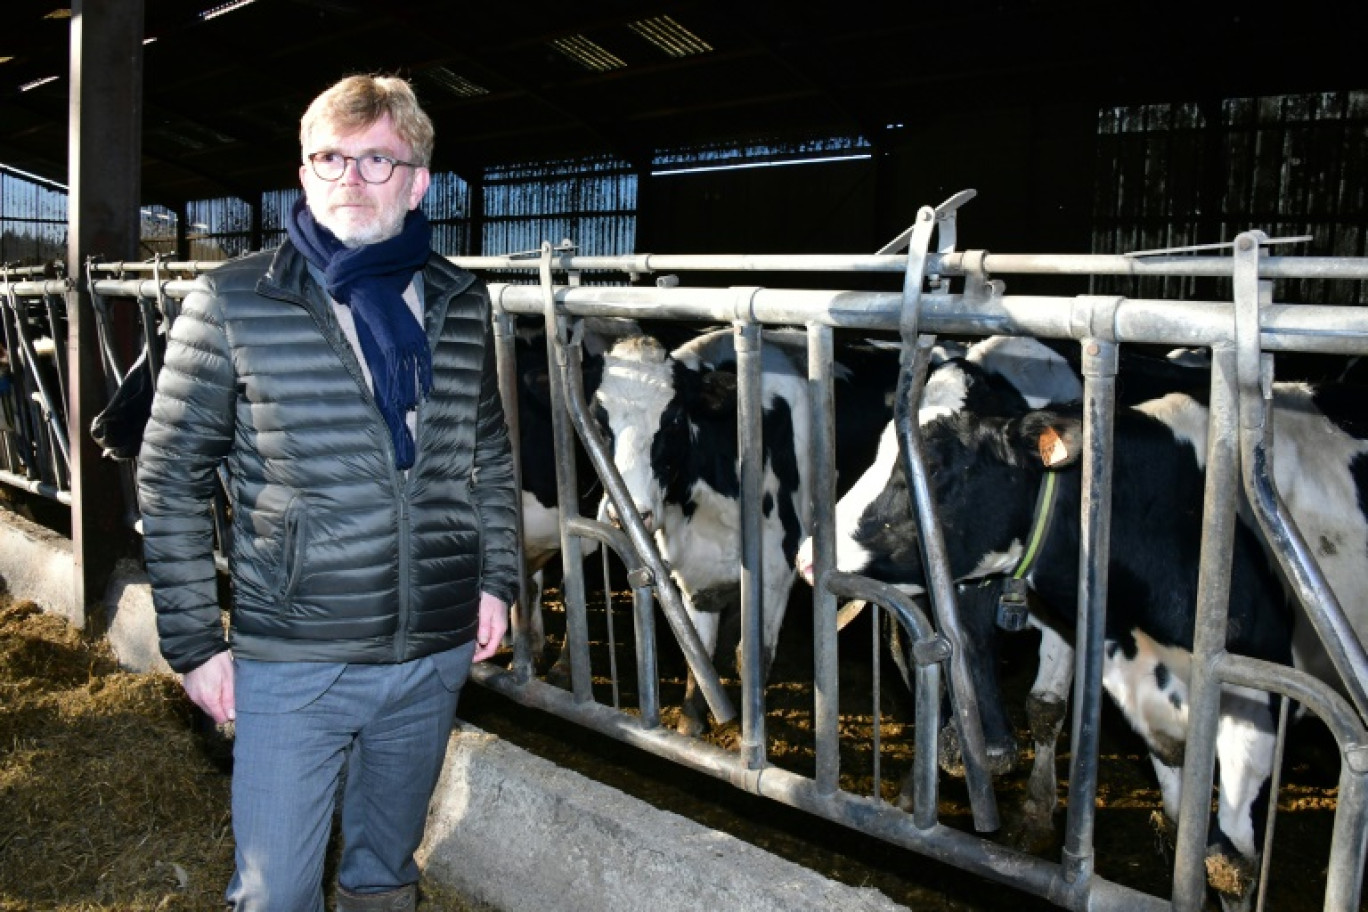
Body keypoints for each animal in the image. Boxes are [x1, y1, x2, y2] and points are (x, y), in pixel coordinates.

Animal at [798, 347, 1368, 907]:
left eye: (933, 468)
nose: (808, 555)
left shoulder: (1253, 703)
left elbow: (1228, 863)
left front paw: (1033, 814)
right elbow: (1183, 823)